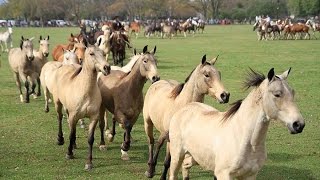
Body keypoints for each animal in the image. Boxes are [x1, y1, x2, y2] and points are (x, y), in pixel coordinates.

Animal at [168, 68, 304, 180]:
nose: (299, 124)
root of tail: (185, 108)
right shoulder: (224, 175)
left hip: (195, 157)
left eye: (293, 93)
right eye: (277, 94)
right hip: (177, 155)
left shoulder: (250, 175)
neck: (244, 140)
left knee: (185, 166)